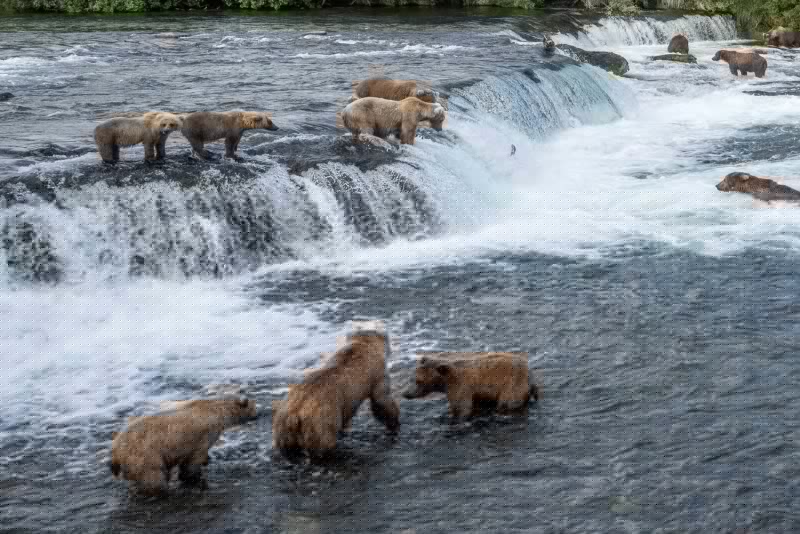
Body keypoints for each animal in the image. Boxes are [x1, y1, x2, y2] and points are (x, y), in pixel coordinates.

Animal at [110, 397, 258, 496]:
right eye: (253, 407)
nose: (258, 415)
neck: (218, 412)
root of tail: (115, 451)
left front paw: (206, 461)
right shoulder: (203, 435)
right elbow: (193, 460)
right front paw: (192, 476)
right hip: (144, 455)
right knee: (154, 476)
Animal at [271, 321, 399, 457]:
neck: (363, 345)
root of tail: (295, 414)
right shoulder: (377, 375)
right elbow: (381, 400)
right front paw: (394, 424)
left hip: (283, 423)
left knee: (288, 448)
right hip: (320, 420)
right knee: (324, 443)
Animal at [402, 352, 539, 420]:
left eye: (419, 381)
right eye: (412, 378)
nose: (406, 393)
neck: (444, 383)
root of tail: (530, 375)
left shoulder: (460, 388)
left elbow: (462, 409)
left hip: (512, 386)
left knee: (506, 403)